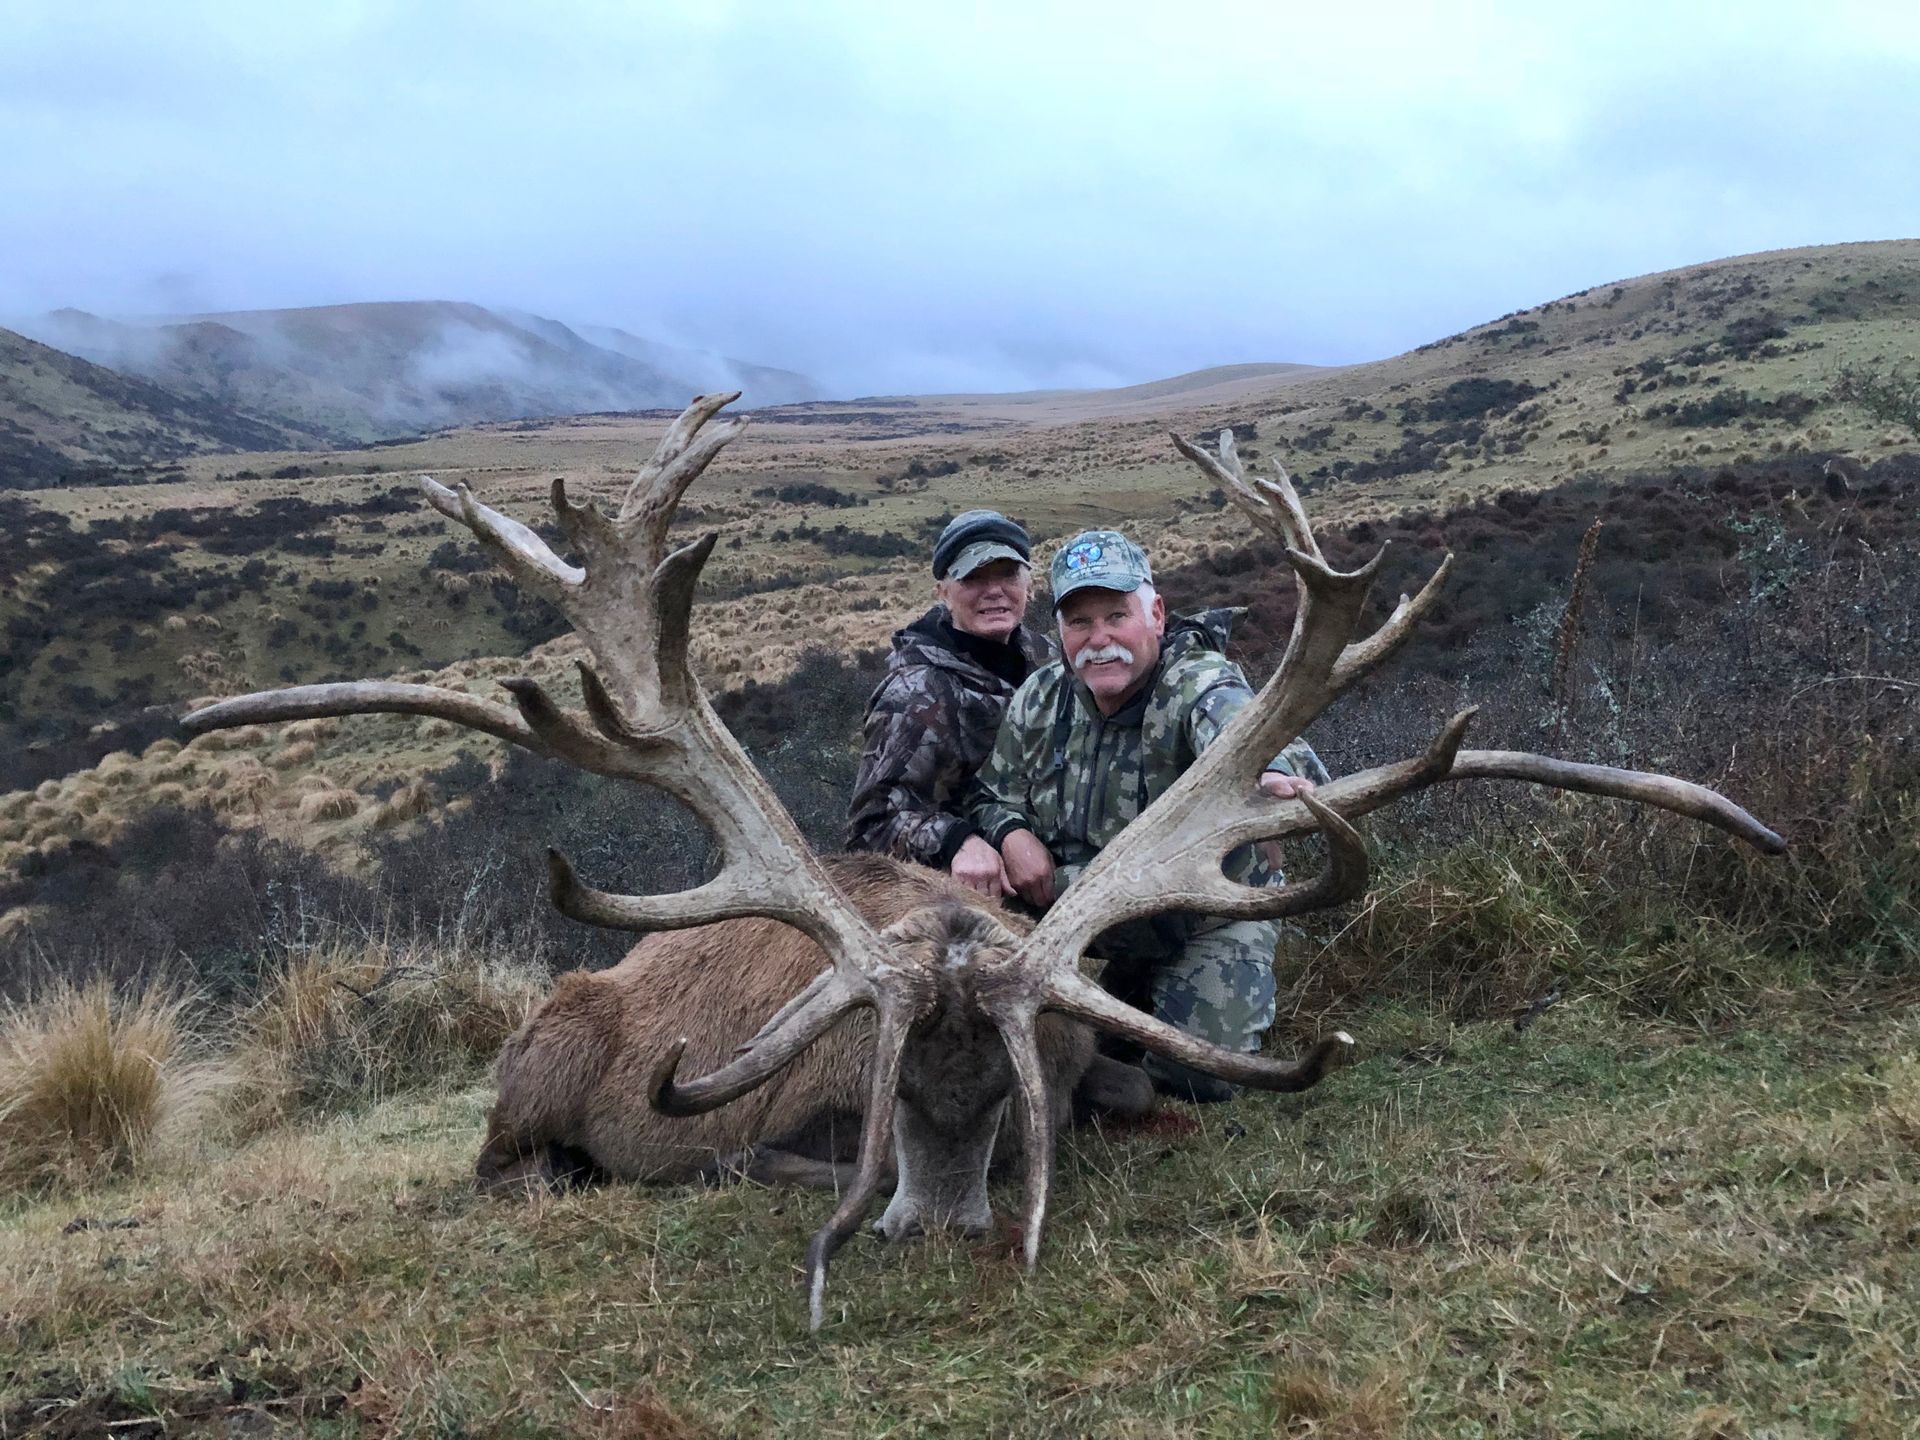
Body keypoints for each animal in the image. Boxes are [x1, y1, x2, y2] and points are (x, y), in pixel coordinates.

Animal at [183, 393, 1786, 1331]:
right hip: (535, 1069)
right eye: (897, 1090)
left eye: (1019, 1090)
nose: (936, 1223)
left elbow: (1148, 1107)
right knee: (500, 1167)